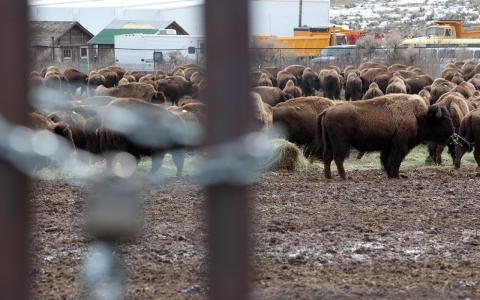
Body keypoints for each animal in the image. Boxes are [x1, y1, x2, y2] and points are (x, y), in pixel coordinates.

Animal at [316, 94, 456, 178]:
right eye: (443, 119)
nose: (452, 130)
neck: (418, 116)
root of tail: (327, 110)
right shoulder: (400, 144)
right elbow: (395, 160)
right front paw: (396, 175)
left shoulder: (388, 147)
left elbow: (387, 160)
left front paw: (391, 174)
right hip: (341, 143)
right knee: (338, 158)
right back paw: (344, 177)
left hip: (328, 142)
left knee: (327, 157)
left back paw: (328, 176)